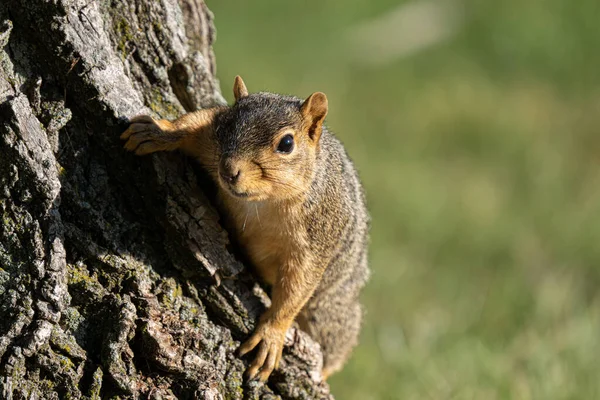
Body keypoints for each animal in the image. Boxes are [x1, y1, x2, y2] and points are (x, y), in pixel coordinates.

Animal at [120, 76, 368, 382]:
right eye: (228, 122)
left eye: (287, 143)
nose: (229, 170)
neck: (264, 201)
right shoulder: (211, 135)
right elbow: (197, 120)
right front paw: (159, 130)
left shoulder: (317, 238)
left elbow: (296, 289)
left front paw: (271, 335)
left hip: (330, 312)